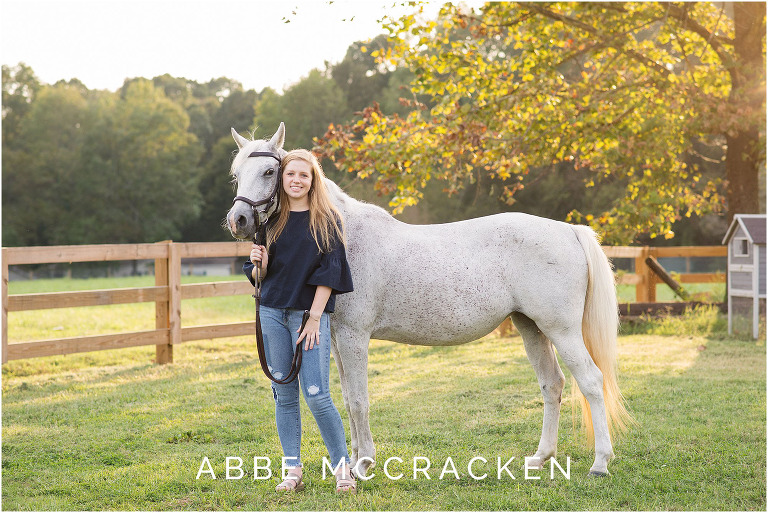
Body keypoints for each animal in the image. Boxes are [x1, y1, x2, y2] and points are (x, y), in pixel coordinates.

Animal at [226, 123, 630, 477]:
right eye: (237, 174)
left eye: (269, 171)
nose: (239, 220)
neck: (343, 234)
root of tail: (569, 230)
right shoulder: (337, 338)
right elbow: (346, 398)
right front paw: (352, 461)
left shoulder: (354, 336)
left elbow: (358, 400)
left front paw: (363, 464)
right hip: (531, 327)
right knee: (553, 384)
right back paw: (541, 458)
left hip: (561, 329)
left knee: (590, 381)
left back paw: (600, 462)